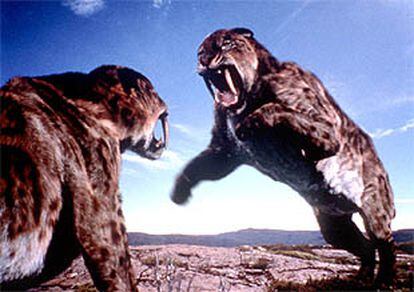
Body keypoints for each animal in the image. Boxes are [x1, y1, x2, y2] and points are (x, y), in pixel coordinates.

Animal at [171, 28, 394, 286]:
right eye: (200, 51)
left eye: (226, 42)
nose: (204, 59)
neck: (249, 97)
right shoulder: (223, 151)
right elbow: (196, 166)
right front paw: (180, 191)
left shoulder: (328, 133)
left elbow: (276, 109)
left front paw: (250, 123)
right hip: (335, 229)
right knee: (366, 248)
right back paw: (360, 279)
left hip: (373, 211)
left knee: (385, 246)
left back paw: (384, 282)